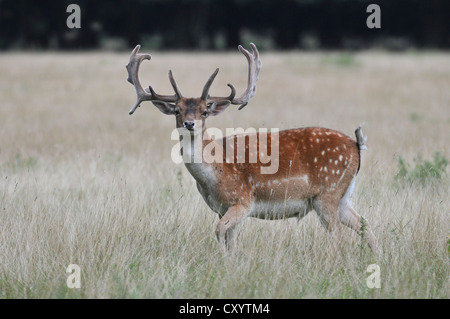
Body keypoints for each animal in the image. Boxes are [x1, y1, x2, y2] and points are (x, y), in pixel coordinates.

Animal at [126, 43, 380, 255]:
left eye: (204, 111)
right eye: (177, 110)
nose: (190, 124)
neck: (214, 174)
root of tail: (357, 145)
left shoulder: (244, 200)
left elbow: (219, 231)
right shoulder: (222, 208)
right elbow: (229, 238)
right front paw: (230, 262)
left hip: (327, 193)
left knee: (338, 234)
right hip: (343, 195)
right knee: (365, 225)